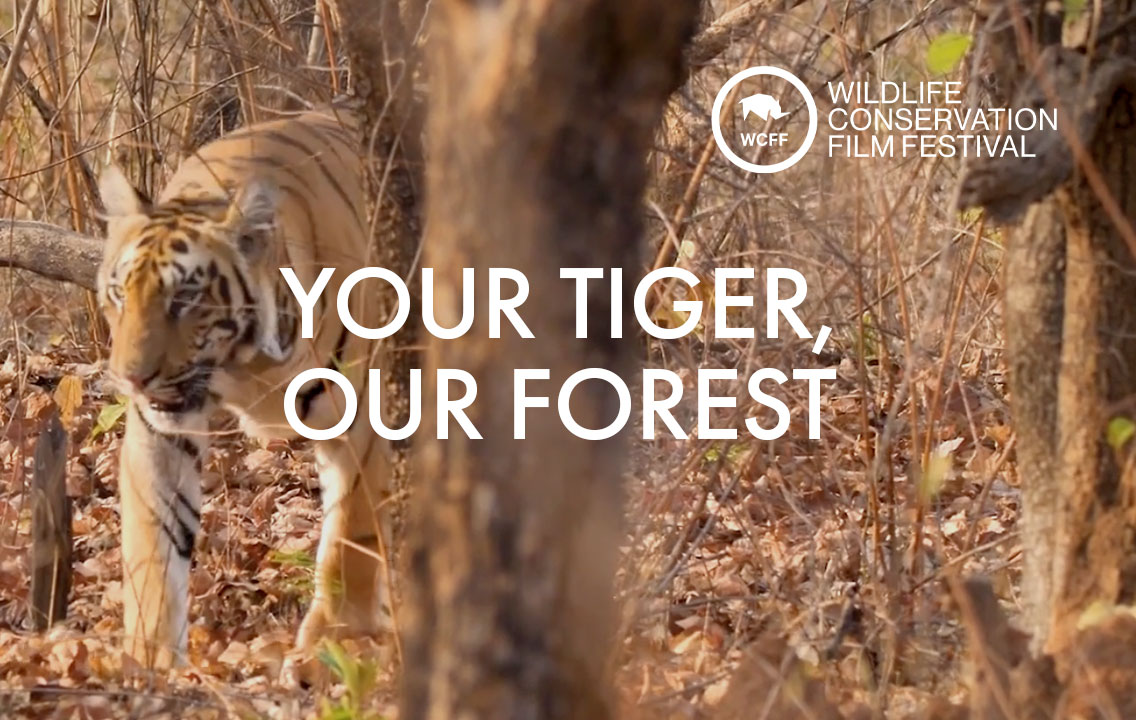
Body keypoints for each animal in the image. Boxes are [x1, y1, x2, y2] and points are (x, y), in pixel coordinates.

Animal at [96, 109, 392, 671]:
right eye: (120, 292)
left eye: (185, 298)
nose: (132, 378)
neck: (246, 366)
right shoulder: (161, 428)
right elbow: (154, 540)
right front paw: (150, 660)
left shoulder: (366, 416)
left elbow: (350, 535)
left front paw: (335, 642)